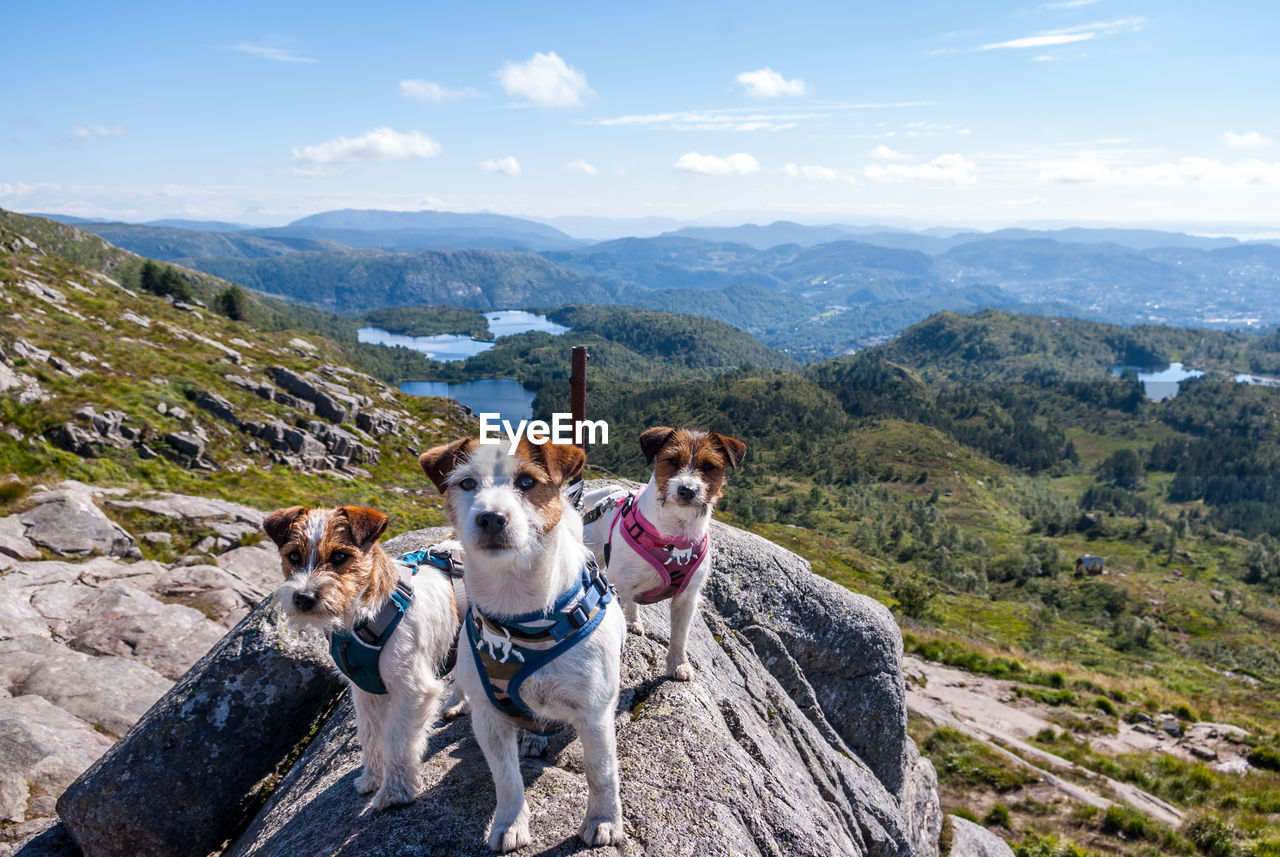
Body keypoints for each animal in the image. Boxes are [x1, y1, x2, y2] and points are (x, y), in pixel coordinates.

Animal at [262, 506, 463, 813]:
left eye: (339, 556)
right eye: (294, 556)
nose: (304, 597)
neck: (361, 617)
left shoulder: (413, 691)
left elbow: (399, 742)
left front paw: (395, 791)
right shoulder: (365, 691)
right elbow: (369, 736)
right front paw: (372, 779)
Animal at [422, 440, 627, 854]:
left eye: (528, 482)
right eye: (467, 483)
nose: (490, 518)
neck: (518, 606)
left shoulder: (595, 713)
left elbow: (601, 771)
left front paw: (603, 820)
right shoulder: (489, 718)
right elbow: (505, 778)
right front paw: (510, 823)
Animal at [578, 429, 747, 685]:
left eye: (708, 466)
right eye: (673, 460)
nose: (687, 490)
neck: (675, 533)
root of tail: (612, 494)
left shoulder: (687, 599)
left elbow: (679, 637)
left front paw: (679, 664)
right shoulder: (619, 584)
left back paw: (634, 621)